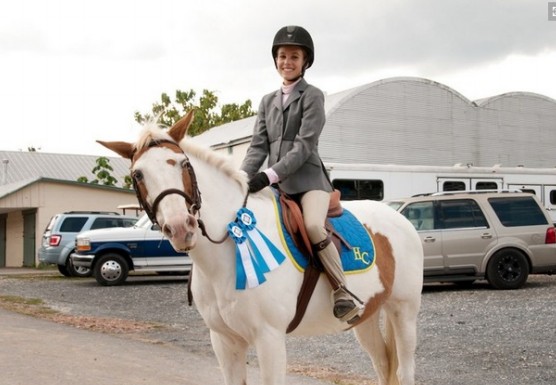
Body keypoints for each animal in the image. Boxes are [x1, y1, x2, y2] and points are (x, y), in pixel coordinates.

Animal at [100, 109, 424, 382]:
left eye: (184, 164)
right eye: (138, 174)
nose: (181, 227)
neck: (225, 256)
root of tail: (400, 218)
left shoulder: (269, 339)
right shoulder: (224, 340)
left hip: (404, 311)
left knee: (404, 371)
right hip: (367, 316)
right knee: (382, 365)